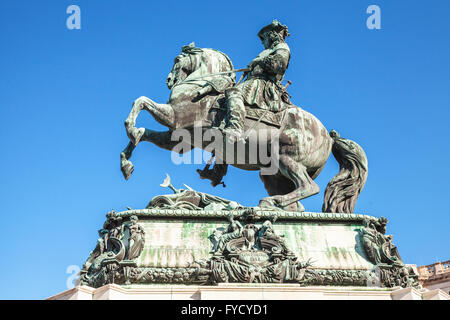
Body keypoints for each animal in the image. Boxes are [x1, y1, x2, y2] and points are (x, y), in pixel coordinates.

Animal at [120, 43, 370, 212]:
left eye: (176, 58)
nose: (169, 80)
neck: (202, 84)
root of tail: (329, 136)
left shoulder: (174, 117)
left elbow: (140, 101)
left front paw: (130, 128)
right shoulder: (178, 139)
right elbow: (144, 133)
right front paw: (126, 162)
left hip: (285, 158)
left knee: (310, 187)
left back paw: (269, 202)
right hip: (273, 176)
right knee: (297, 204)